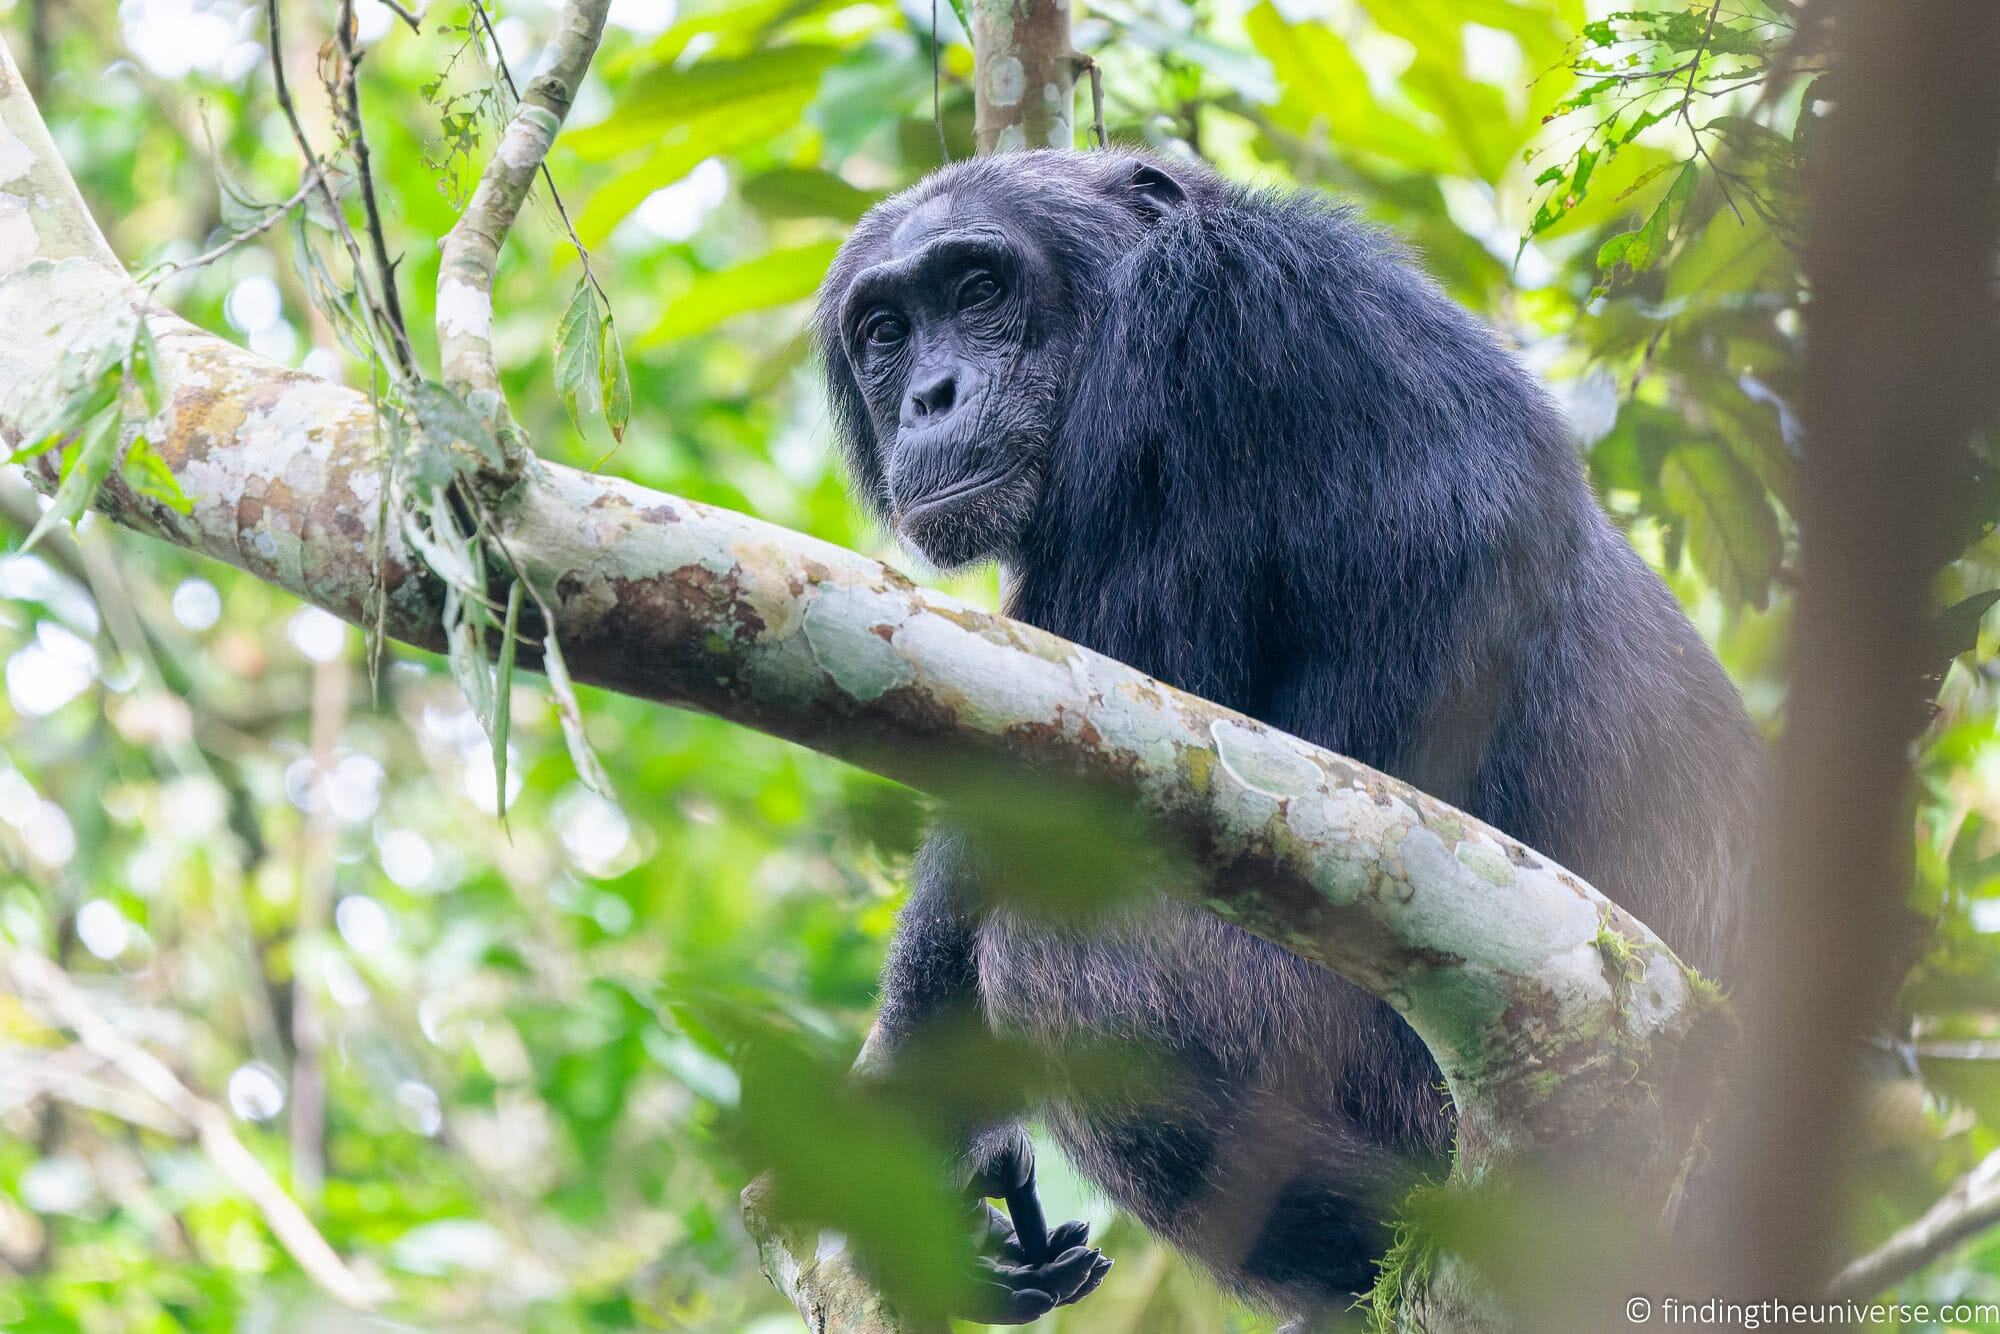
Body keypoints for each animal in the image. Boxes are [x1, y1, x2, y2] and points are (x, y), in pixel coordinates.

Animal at [812, 149, 1768, 1328]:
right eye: (886, 330)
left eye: (979, 289)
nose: (931, 393)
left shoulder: (1192, 350)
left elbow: (1053, 778)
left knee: (1063, 958)